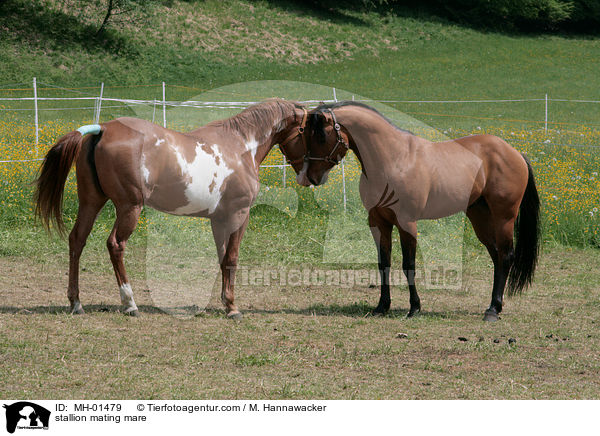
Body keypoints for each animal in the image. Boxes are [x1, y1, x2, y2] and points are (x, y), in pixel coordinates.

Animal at [34, 98, 310, 316]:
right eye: (309, 131)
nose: (309, 176)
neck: (241, 147)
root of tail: (103, 129)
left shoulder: (218, 220)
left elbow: (222, 258)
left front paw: (225, 302)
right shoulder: (238, 215)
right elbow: (232, 258)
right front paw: (232, 307)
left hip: (91, 202)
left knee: (77, 240)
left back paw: (76, 302)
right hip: (129, 207)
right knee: (115, 245)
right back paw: (130, 303)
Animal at [300, 101, 540, 320]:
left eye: (321, 136)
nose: (311, 177)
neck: (393, 159)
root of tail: (515, 153)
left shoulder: (407, 223)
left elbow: (409, 265)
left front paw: (414, 307)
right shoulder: (378, 221)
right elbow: (383, 263)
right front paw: (382, 307)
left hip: (504, 218)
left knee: (506, 256)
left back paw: (492, 310)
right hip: (479, 217)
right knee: (496, 255)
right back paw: (495, 305)